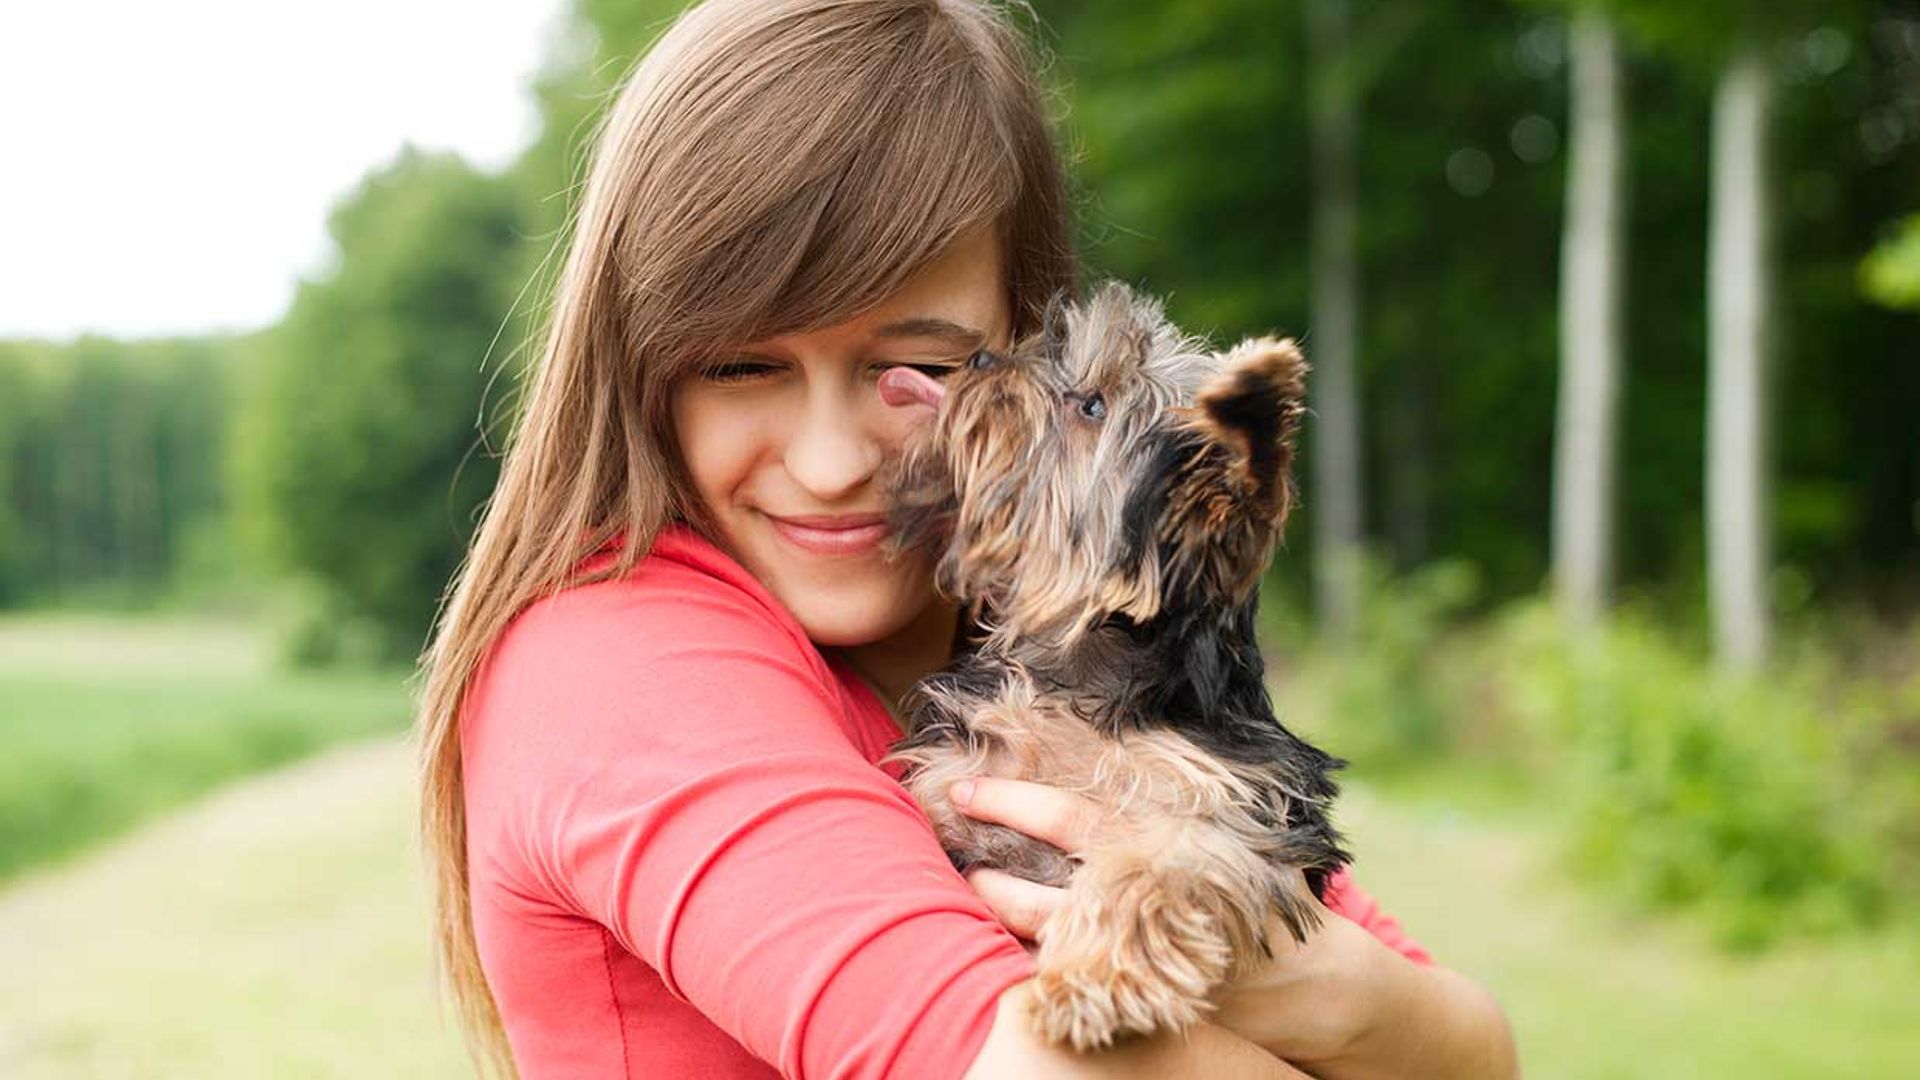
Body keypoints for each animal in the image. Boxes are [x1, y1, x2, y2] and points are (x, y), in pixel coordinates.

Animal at [875, 282, 1344, 1045]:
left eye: (1091, 406)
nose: (980, 359)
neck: (1081, 669)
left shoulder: (1227, 806)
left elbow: (1150, 867)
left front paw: (1093, 981)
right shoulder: (954, 781)